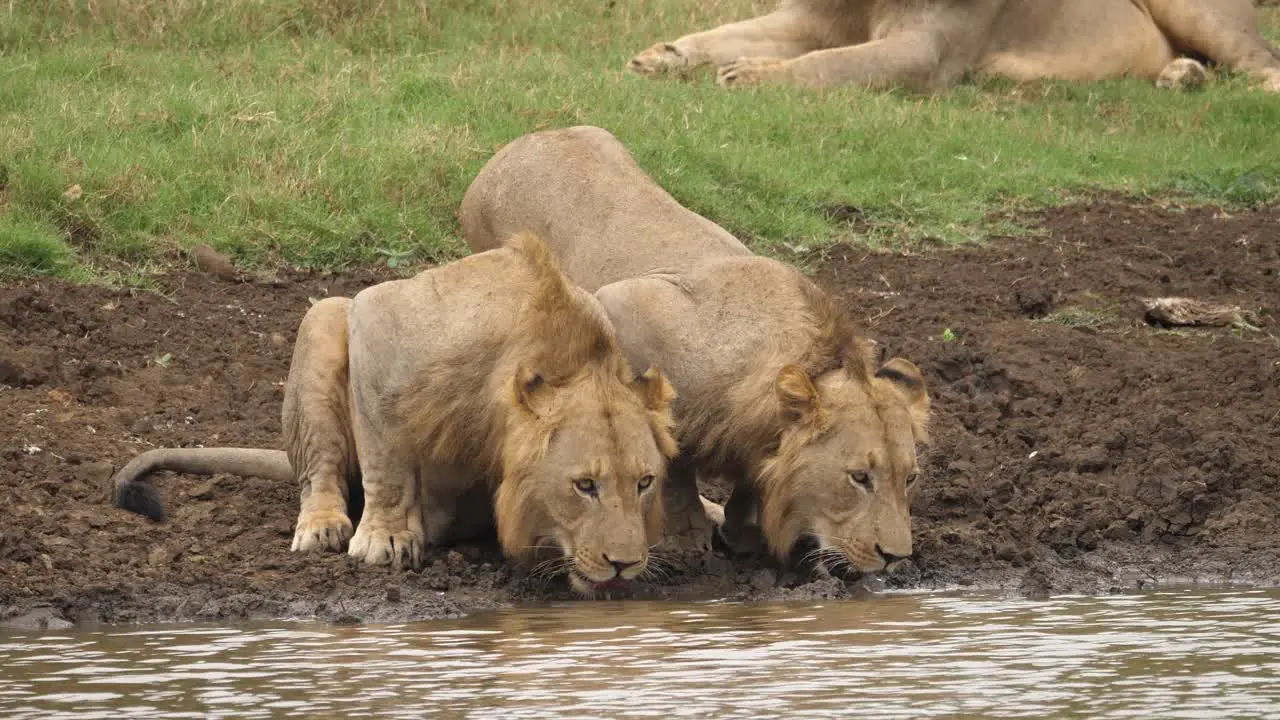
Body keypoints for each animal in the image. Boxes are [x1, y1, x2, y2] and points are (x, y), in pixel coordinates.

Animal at [112, 230, 680, 594]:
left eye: (644, 483)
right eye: (585, 485)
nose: (625, 565)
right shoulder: (380, 321)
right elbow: (387, 462)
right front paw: (386, 538)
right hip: (325, 319)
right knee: (319, 470)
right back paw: (324, 525)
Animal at [460, 122, 931, 571]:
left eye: (909, 478)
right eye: (860, 477)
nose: (895, 557)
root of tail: (525, 140)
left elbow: (750, 478)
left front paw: (743, 533)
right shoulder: (623, 306)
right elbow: (675, 458)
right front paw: (689, 537)